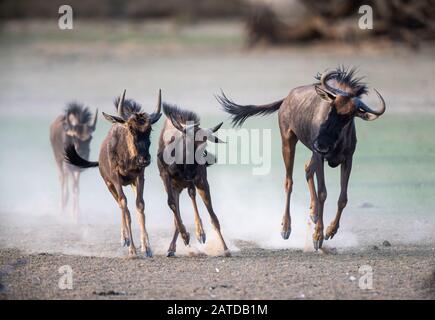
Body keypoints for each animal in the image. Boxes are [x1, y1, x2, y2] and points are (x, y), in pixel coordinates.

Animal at [66, 90, 164, 258]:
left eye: (149, 129)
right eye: (130, 128)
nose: (144, 159)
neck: (127, 156)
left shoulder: (139, 177)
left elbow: (140, 205)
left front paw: (146, 247)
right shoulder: (115, 179)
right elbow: (124, 205)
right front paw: (132, 249)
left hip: (130, 183)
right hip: (109, 184)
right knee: (120, 203)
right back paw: (124, 239)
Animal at [158, 103, 232, 258]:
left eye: (205, 143)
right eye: (189, 142)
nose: (201, 162)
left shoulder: (193, 180)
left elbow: (192, 196)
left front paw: (200, 232)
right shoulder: (167, 178)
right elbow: (172, 204)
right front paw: (186, 235)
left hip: (201, 183)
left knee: (213, 217)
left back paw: (225, 248)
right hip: (178, 187)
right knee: (177, 213)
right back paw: (174, 246)